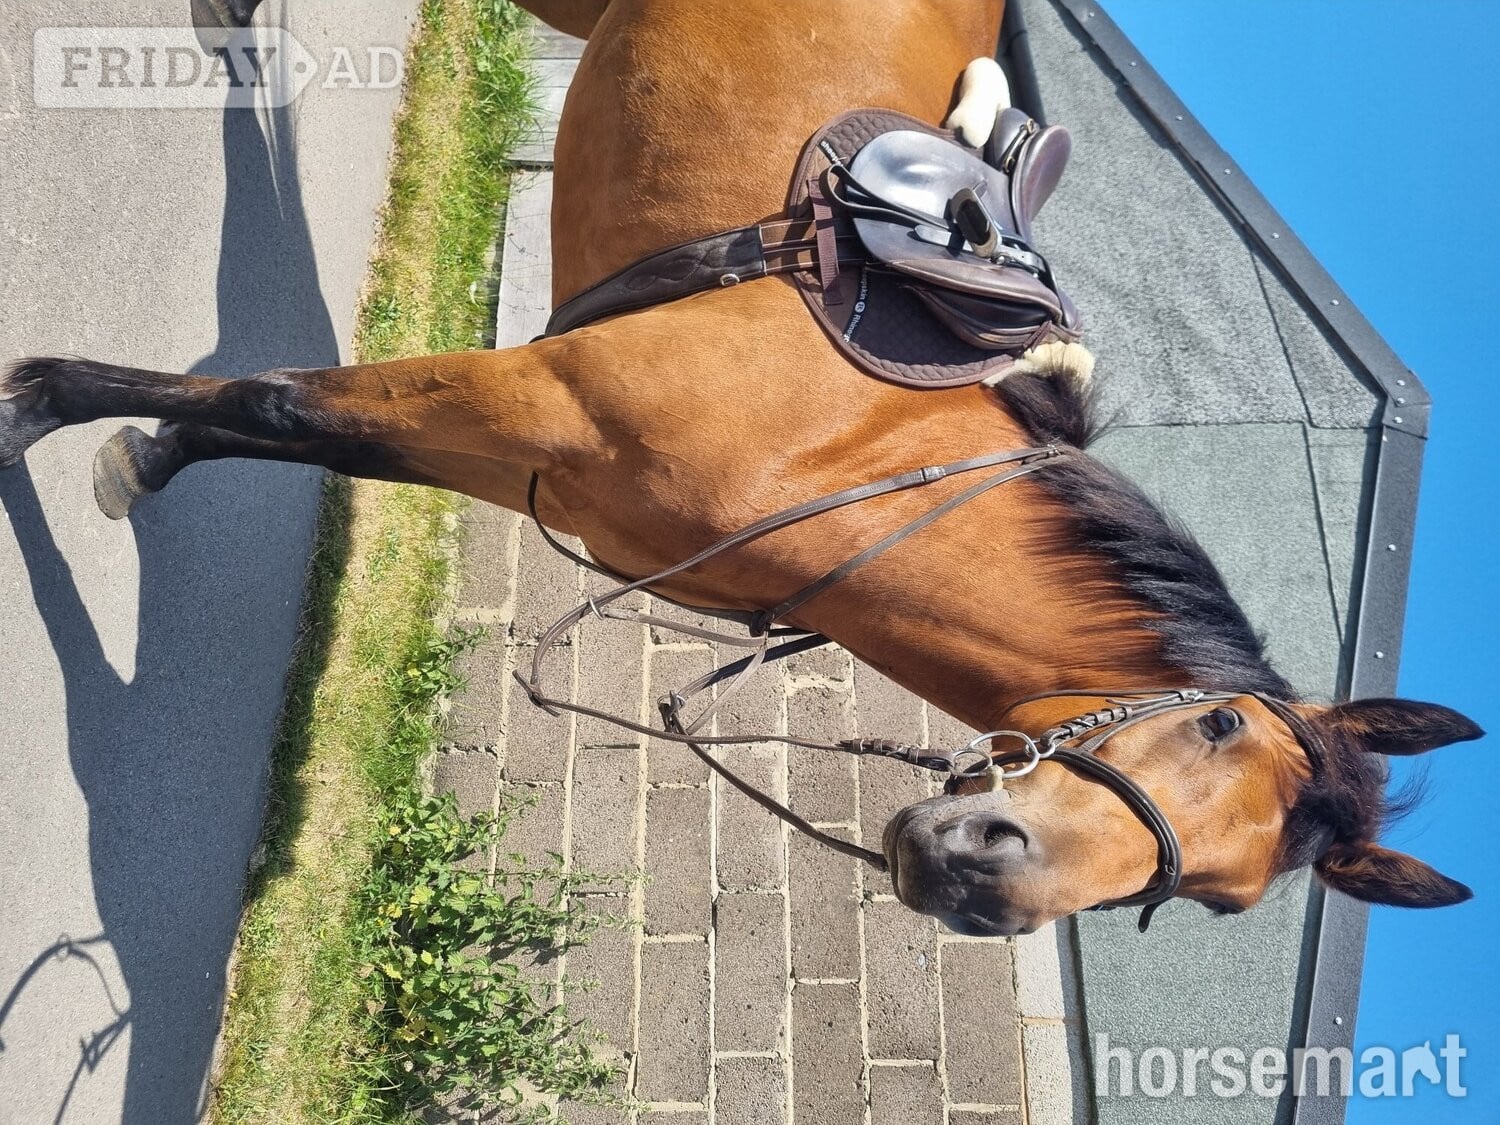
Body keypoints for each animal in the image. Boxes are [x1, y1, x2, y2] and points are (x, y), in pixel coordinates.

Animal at [0, 0, 1482, 937]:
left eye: (1201, 900)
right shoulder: (529, 395)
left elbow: (306, 428)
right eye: (1219, 727)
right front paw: (44, 404)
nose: (984, 885)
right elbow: (282, 399)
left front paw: (147, 448)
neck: (841, 464)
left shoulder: (519, 453)